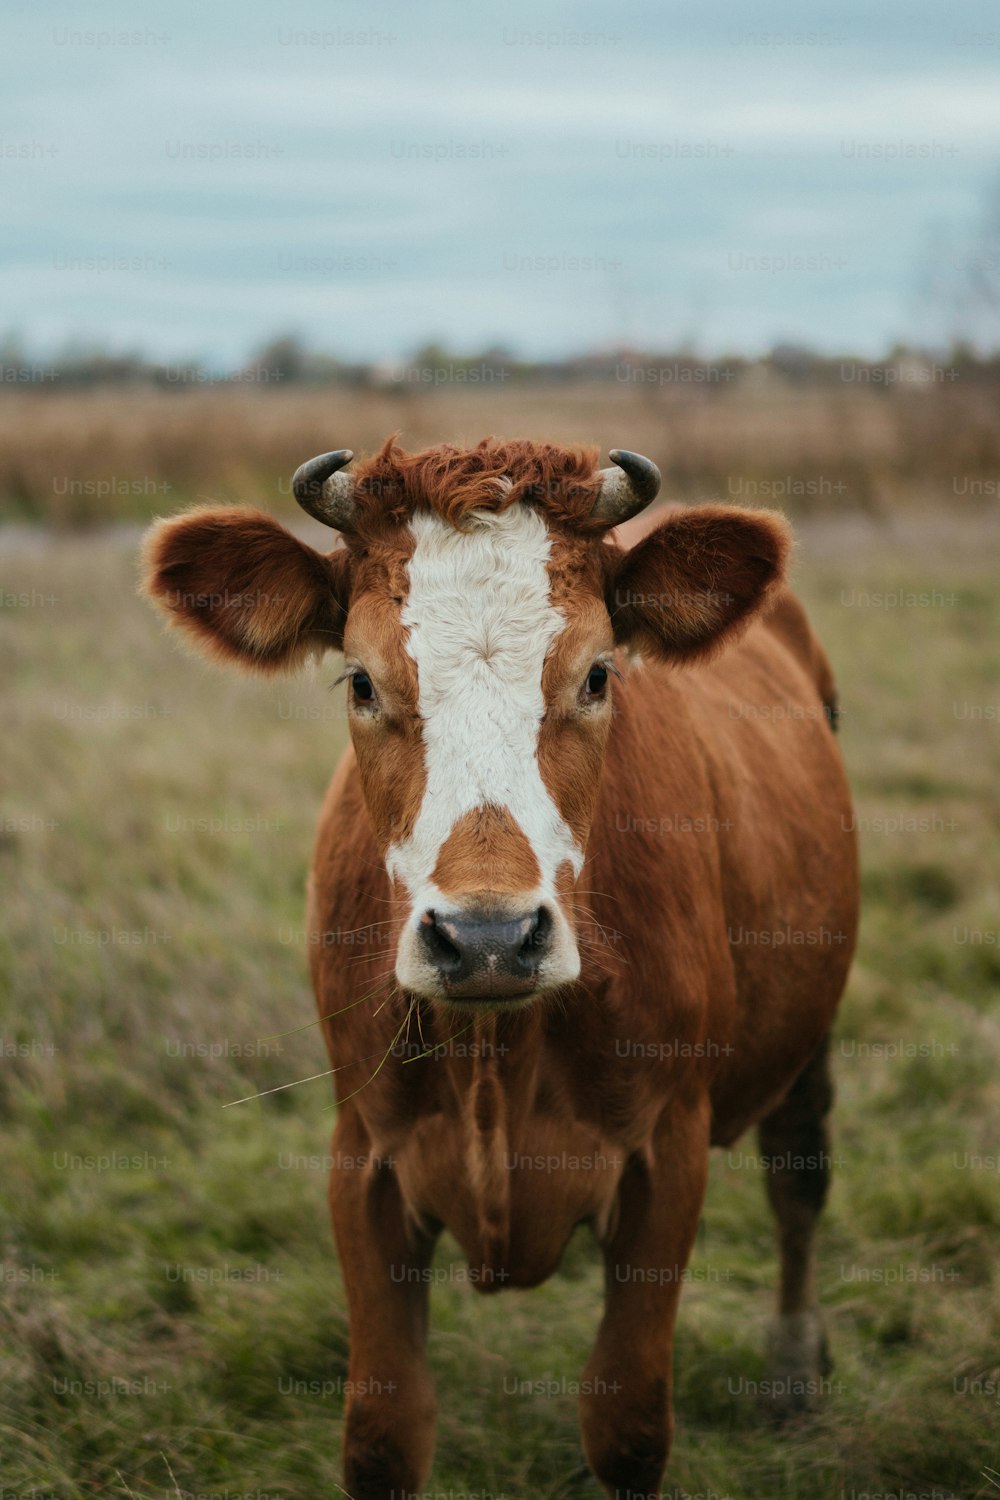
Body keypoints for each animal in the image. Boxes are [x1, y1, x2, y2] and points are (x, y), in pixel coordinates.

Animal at [146, 438, 863, 1500]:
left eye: (599, 674)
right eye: (360, 681)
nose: (487, 937)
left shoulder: (668, 1156)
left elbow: (627, 1425)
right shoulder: (363, 1157)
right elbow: (382, 1434)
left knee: (799, 1176)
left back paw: (792, 1372)